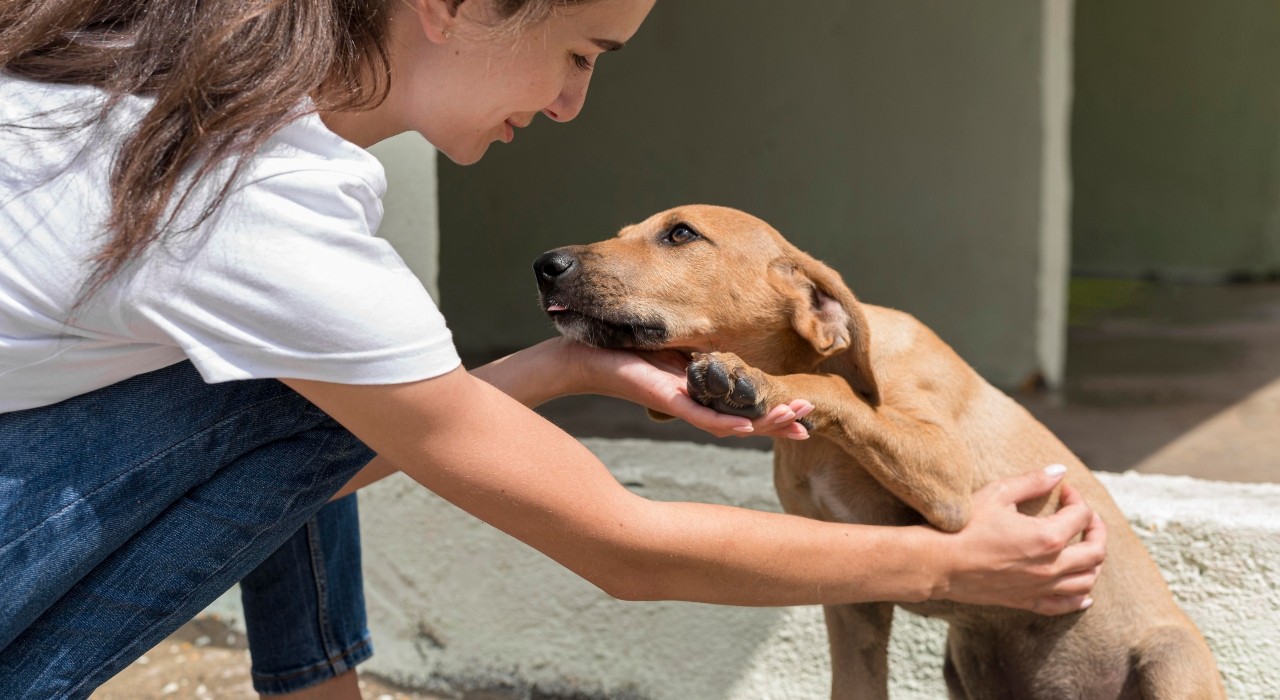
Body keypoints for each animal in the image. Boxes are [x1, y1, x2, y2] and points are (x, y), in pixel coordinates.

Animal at [535, 206, 1223, 696]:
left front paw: (751, 381)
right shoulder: (851, 596)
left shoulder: (950, 482)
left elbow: (837, 391)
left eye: (680, 234)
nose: (546, 263)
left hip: (1170, 661)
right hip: (963, 666)